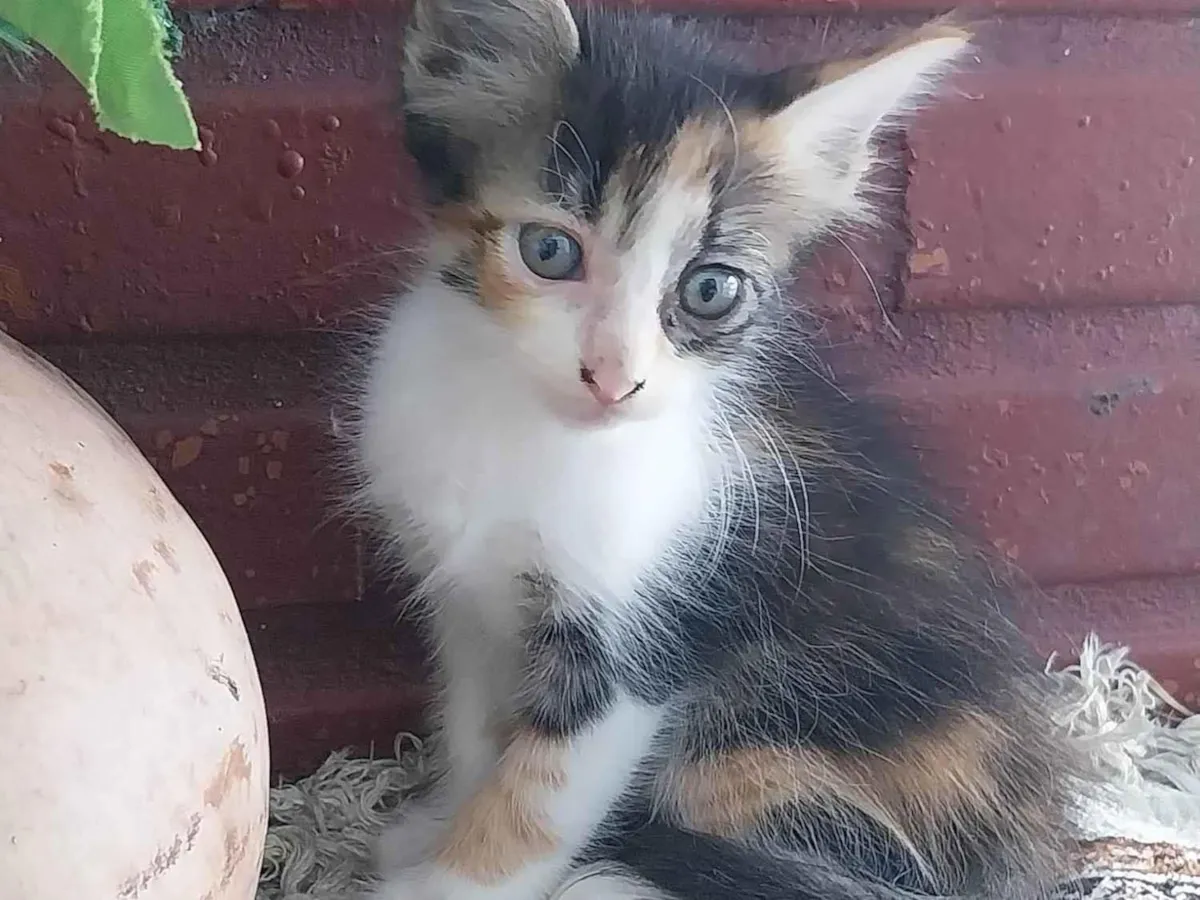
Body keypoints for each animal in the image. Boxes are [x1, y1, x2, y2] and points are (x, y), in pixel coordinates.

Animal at [349, 3, 1078, 900]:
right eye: (548, 251)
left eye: (710, 289)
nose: (614, 377)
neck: (526, 427)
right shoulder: (467, 602)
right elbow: (473, 727)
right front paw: (437, 823)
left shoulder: (643, 639)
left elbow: (541, 795)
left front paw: (451, 880)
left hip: (775, 725)